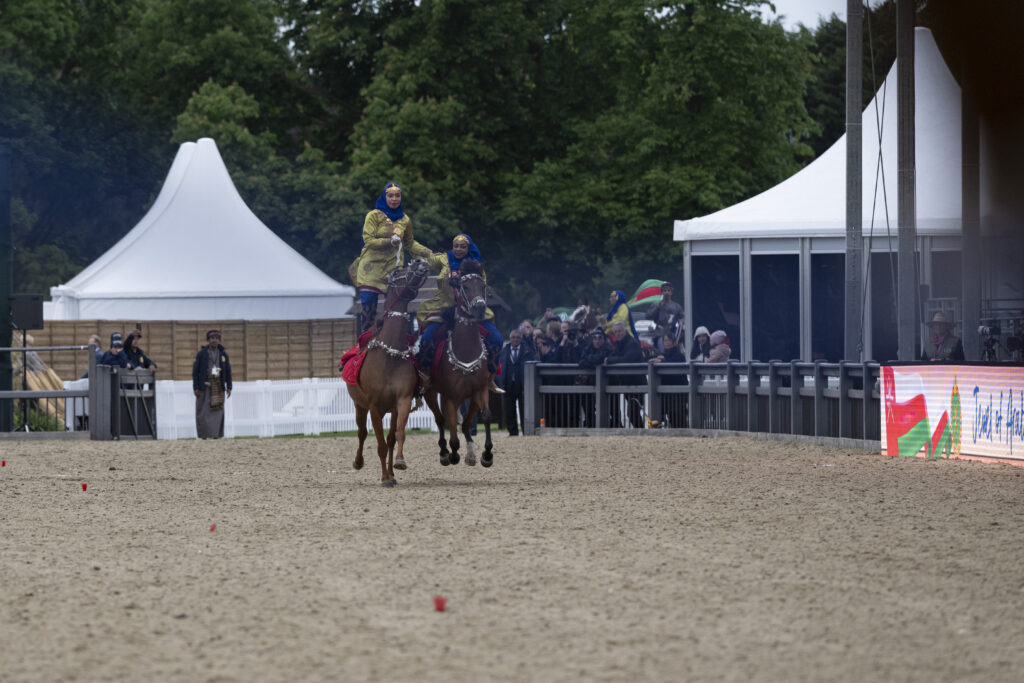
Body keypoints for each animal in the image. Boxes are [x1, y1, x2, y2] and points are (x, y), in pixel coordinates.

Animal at [346, 258, 430, 487]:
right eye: (398, 271)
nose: (420, 261)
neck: (390, 357)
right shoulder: (374, 406)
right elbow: (380, 444)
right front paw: (384, 478)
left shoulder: (402, 400)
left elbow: (397, 435)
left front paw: (397, 465)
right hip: (359, 405)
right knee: (362, 432)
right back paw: (358, 462)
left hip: (390, 409)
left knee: (390, 437)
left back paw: (392, 472)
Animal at [424, 260, 494, 468]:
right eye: (465, 286)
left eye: (483, 286)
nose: (480, 308)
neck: (466, 351)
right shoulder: (451, 396)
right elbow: (452, 422)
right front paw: (453, 453)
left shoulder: (480, 390)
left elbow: (485, 416)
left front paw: (487, 454)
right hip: (430, 392)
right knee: (440, 419)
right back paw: (444, 453)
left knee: (465, 422)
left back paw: (470, 453)